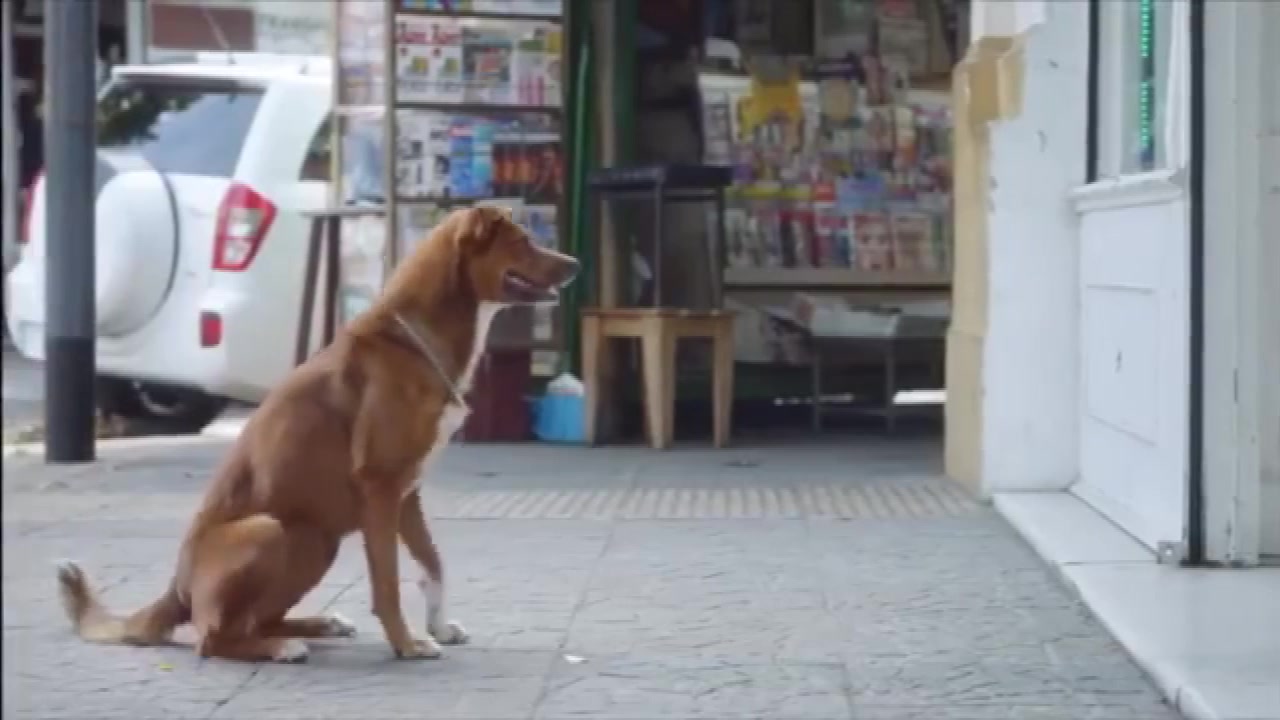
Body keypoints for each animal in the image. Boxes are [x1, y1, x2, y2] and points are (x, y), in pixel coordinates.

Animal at [55, 204, 581, 661]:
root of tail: (175, 591)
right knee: (213, 638)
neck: (414, 341)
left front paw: (439, 627)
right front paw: (408, 644)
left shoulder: (408, 494)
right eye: (524, 241)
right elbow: (388, 582)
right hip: (270, 530)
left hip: (316, 540)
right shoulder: (381, 490)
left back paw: (315, 625)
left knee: (255, 619)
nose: (575, 264)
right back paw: (281, 648)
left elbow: (434, 566)